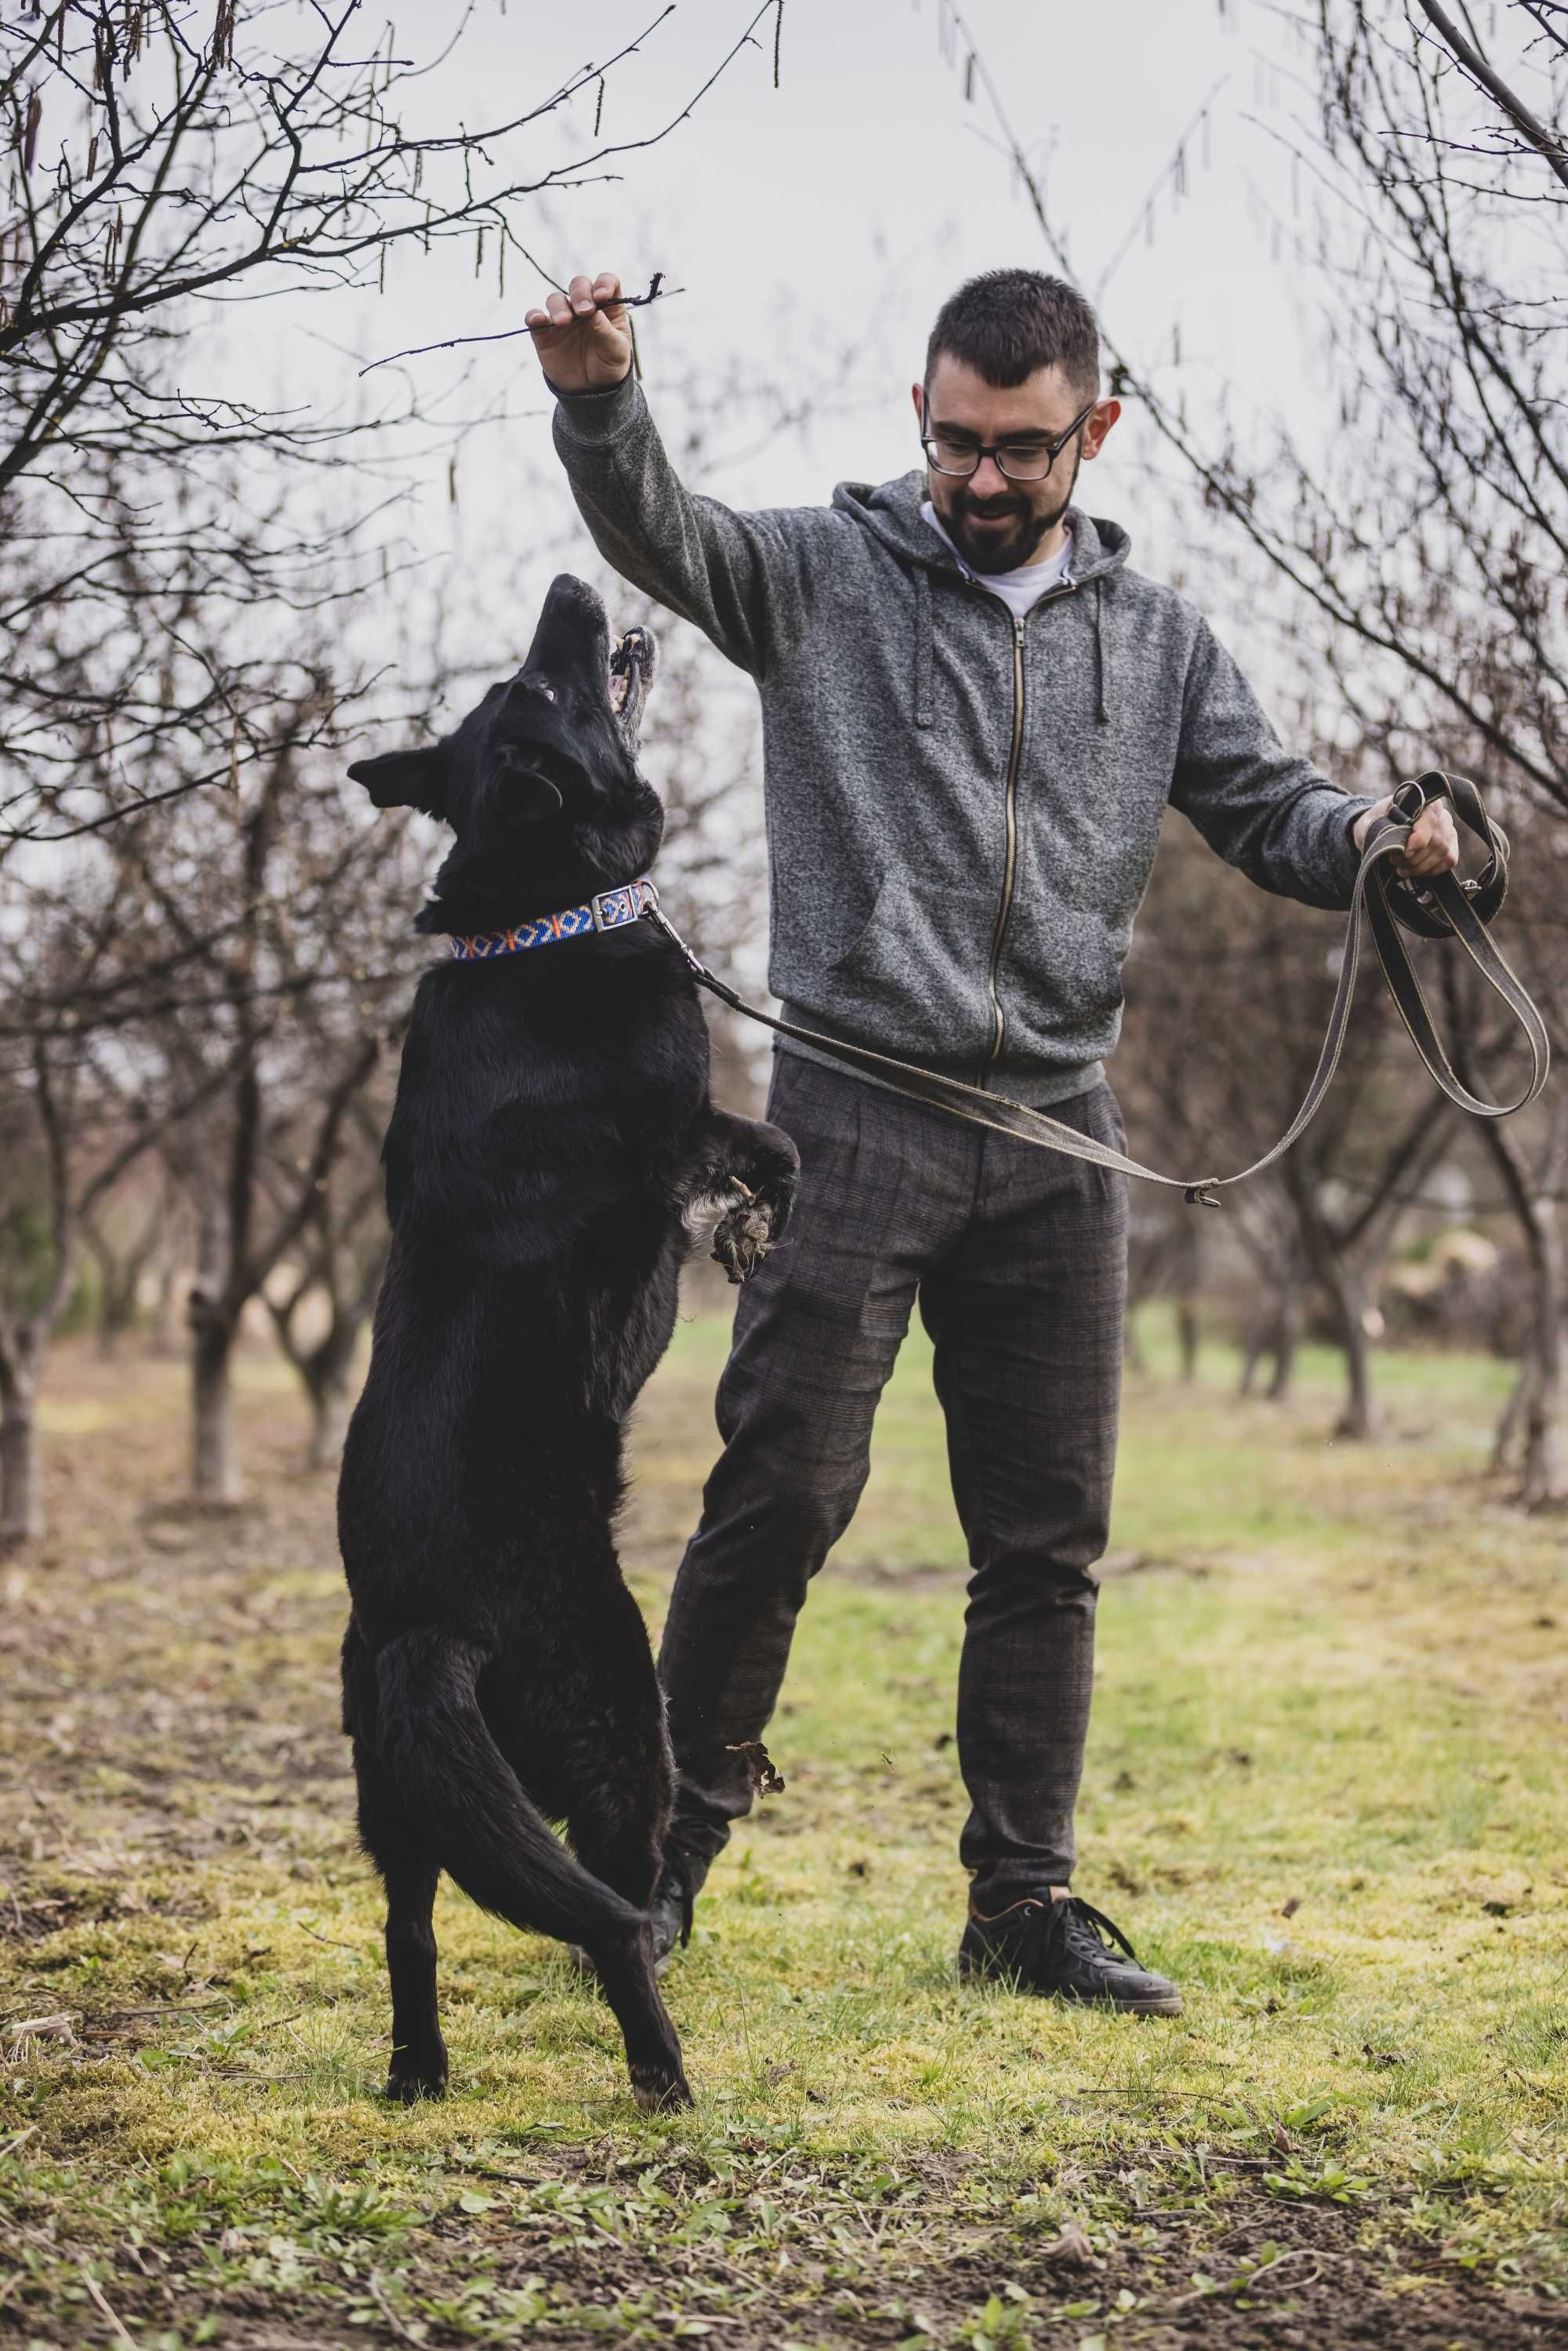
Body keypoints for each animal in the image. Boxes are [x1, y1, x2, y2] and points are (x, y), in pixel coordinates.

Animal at [331, 578, 799, 2125]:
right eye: (550, 682)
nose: (574, 587)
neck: (539, 919)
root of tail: (431, 1627)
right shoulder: (681, 1120)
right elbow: (769, 1141)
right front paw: (756, 1220)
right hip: (612, 1721)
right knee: (613, 1915)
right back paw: (663, 2071)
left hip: (400, 1792)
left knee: (410, 1926)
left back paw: (420, 2071)